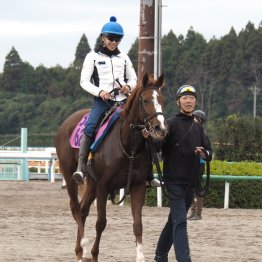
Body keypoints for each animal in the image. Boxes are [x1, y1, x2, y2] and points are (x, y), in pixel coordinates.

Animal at [54, 73, 168, 262]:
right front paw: (93, 254)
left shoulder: (138, 186)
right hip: (71, 177)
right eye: (145, 100)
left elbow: (138, 224)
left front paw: (140, 257)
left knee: (83, 211)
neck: (128, 145)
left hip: (91, 183)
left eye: (162, 100)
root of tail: (65, 123)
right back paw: (84, 248)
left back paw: (79, 252)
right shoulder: (103, 185)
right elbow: (101, 223)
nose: (161, 128)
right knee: (76, 209)